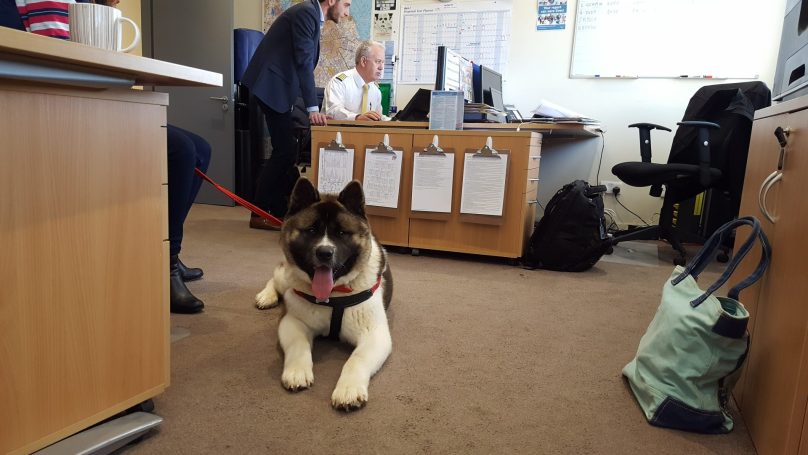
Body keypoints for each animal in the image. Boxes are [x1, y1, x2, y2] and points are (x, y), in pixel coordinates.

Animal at [252, 180, 392, 412]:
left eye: (342, 233)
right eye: (311, 230)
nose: (324, 252)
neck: (333, 294)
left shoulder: (375, 334)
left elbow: (357, 358)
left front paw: (348, 389)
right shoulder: (292, 322)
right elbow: (298, 344)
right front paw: (297, 370)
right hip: (286, 277)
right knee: (276, 275)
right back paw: (266, 296)